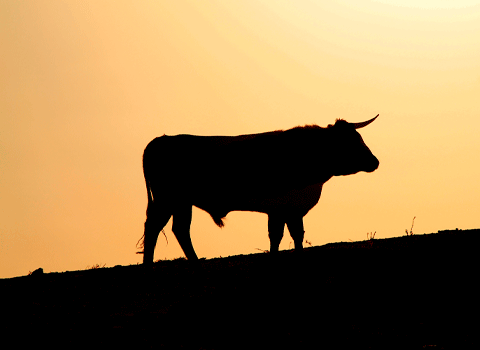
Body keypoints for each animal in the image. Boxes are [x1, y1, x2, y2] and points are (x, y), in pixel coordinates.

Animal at [138, 115, 378, 266]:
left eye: (358, 138)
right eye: (349, 142)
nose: (375, 162)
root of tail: (160, 140)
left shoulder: (288, 209)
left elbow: (290, 235)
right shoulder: (284, 207)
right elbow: (282, 235)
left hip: (182, 202)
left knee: (179, 229)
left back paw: (194, 261)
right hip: (167, 199)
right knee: (154, 227)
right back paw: (149, 265)